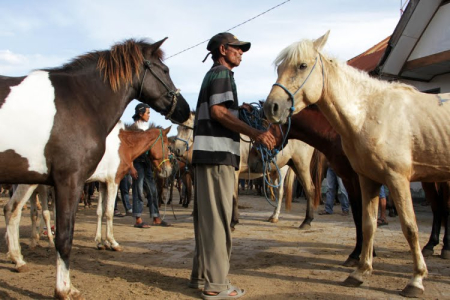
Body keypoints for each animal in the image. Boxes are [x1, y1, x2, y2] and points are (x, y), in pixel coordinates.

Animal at [0, 37, 190, 298]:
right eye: (165, 70)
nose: (185, 110)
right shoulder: (91, 181)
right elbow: (88, 223)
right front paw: (66, 286)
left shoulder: (98, 182)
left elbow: (100, 212)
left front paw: (100, 242)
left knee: (12, 210)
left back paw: (18, 258)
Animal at [262, 30, 450, 298]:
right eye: (279, 68)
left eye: (302, 65)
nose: (272, 107)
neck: (367, 115)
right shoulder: (366, 178)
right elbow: (367, 222)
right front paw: (361, 269)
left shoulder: (395, 180)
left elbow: (409, 227)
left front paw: (416, 279)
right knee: (438, 210)